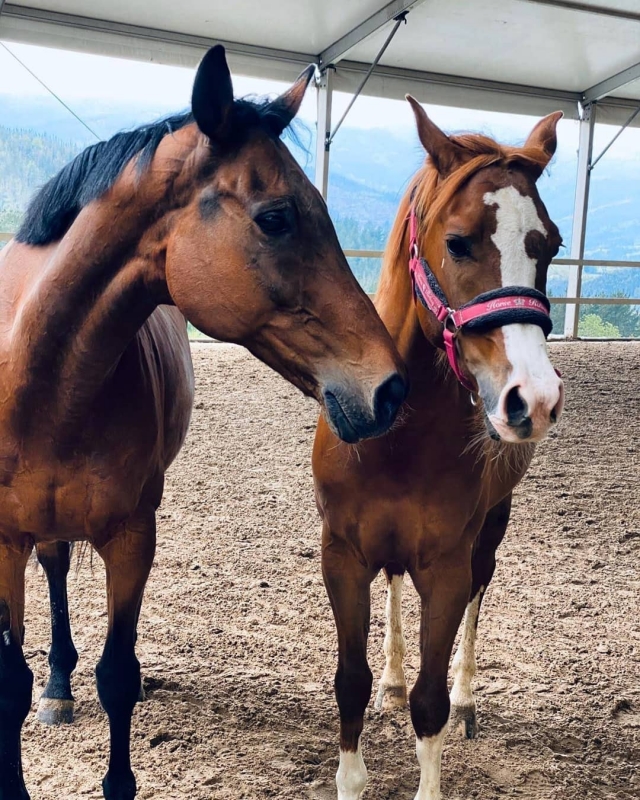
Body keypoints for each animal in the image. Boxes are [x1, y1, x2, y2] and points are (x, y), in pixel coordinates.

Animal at [0, 45, 408, 800]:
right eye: (276, 218)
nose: (391, 387)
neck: (37, 376)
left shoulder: (133, 535)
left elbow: (118, 674)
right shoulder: (2, 540)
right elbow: (9, 681)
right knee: (56, 569)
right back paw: (56, 685)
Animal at [313, 99, 565, 799]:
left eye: (552, 245)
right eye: (457, 242)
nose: (533, 399)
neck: (396, 438)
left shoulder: (447, 568)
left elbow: (432, 705)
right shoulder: (343, 556)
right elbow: (350, 683)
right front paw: (354, 770)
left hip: (491, 529)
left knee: (481, 593)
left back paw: (469, 695)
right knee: (396, 586)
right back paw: (394, 677)